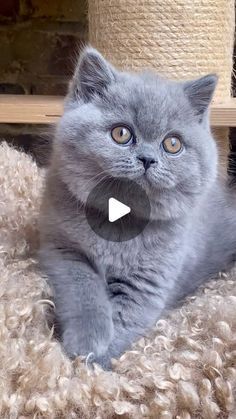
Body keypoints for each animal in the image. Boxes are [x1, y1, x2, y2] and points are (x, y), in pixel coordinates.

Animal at [38, 46, 236, 368]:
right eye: (121, 133)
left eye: (172, 144)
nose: (147, 159)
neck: (120, 221)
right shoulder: (62, 247)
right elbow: (84, 289)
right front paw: (88, 340)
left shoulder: (149, 281)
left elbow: (127, 318)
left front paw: (95, 361)